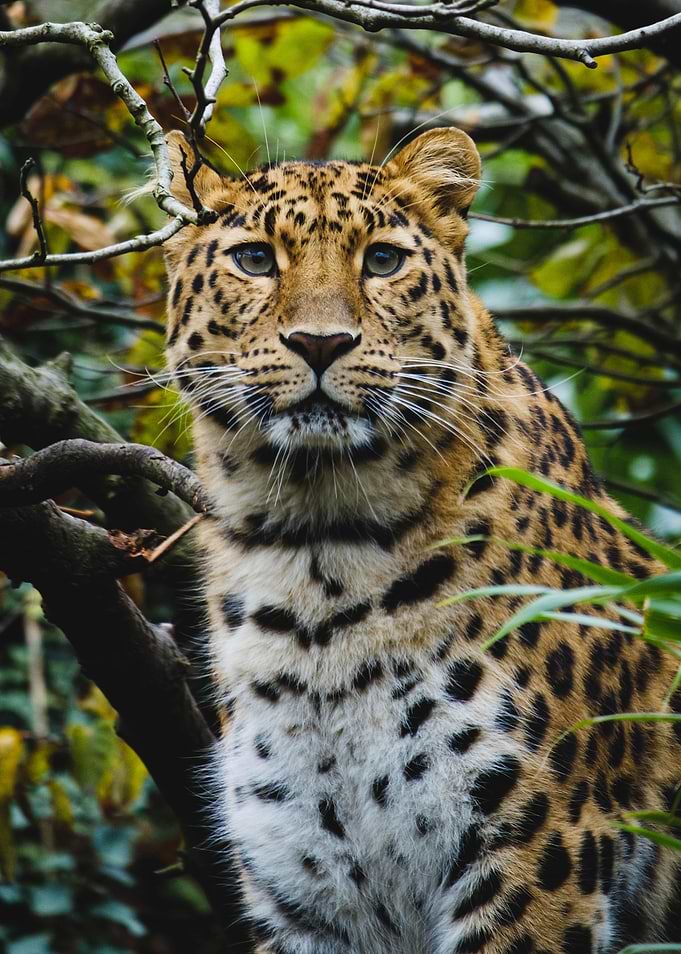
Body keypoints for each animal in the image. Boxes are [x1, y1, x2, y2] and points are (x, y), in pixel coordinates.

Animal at [161, 126, 681, 954]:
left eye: (381, 261)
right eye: (254, 260)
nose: (318, 342)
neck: (315, 553)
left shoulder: (540, 855)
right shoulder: (306, 888)